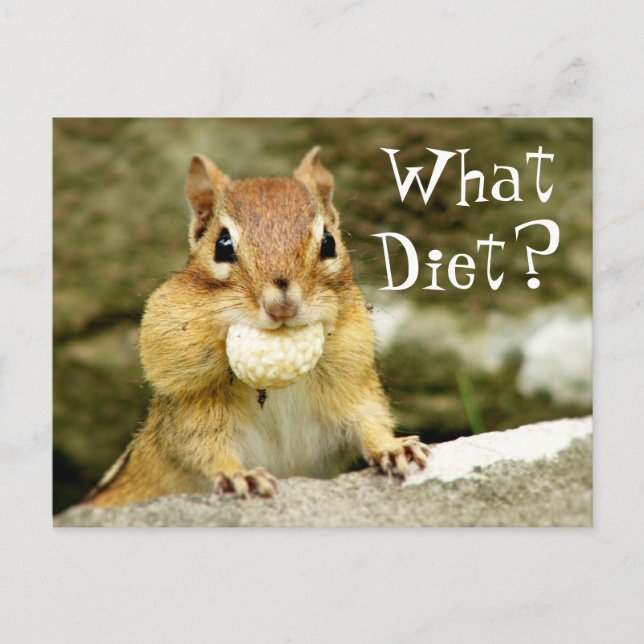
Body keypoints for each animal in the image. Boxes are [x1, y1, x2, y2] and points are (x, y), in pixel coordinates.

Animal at [84, 147, 430, 507]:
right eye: (222, 245)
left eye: (328, 242)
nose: (282, 306)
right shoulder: (191, 408)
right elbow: (204, 449)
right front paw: (239, 475)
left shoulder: (353, 384)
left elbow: (369, 421)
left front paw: (394, 449)